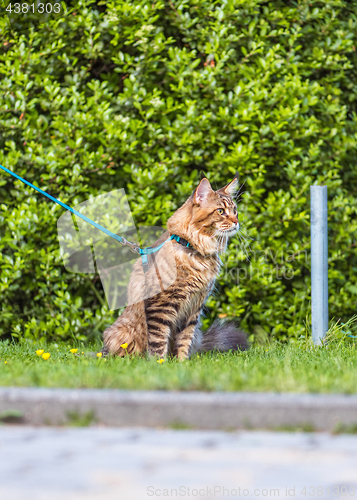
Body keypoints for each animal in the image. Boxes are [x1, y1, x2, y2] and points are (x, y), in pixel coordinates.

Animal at [101, 176, 248, 360]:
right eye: (221, 211)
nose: (237, 222)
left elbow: (184, 340)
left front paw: (181, 362)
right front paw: (159, 363)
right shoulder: (161, 304)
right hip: (120, 333)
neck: (195, 251)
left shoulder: (193, 308)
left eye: (235, 211)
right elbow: (158, 341)